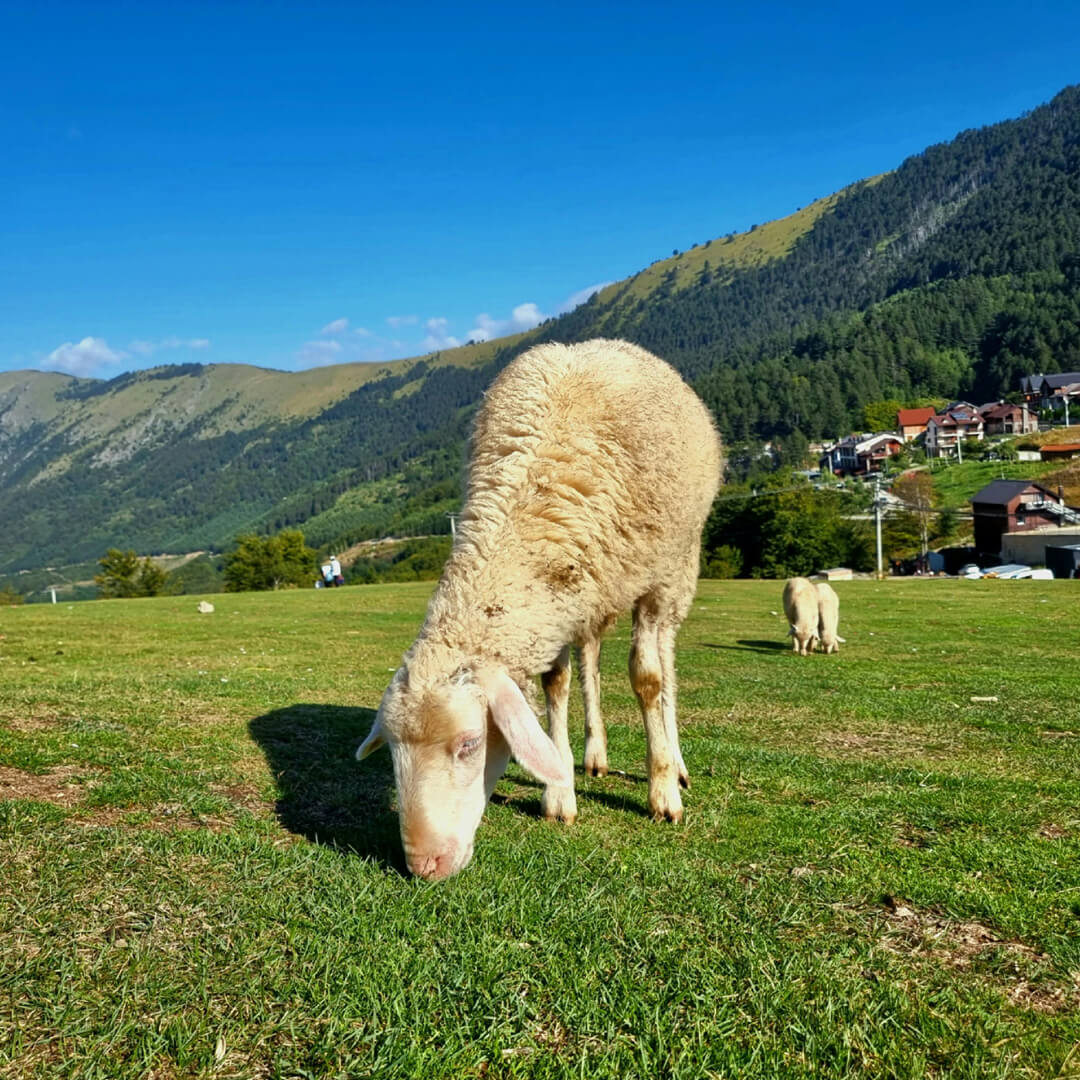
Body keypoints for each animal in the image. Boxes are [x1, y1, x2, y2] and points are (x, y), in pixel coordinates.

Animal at [358, 336, 721, 876]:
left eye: (469, 744)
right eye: (392, 751)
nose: (424, 864)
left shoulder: (651, 582)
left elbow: (648, 679)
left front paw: (661, 795)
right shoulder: (561, 599)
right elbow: (557, 684)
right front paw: (559, 792)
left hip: (678, 564)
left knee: (666, 658)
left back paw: (674, 762)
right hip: (591, 590)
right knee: (591, 660)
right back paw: (594, 753)